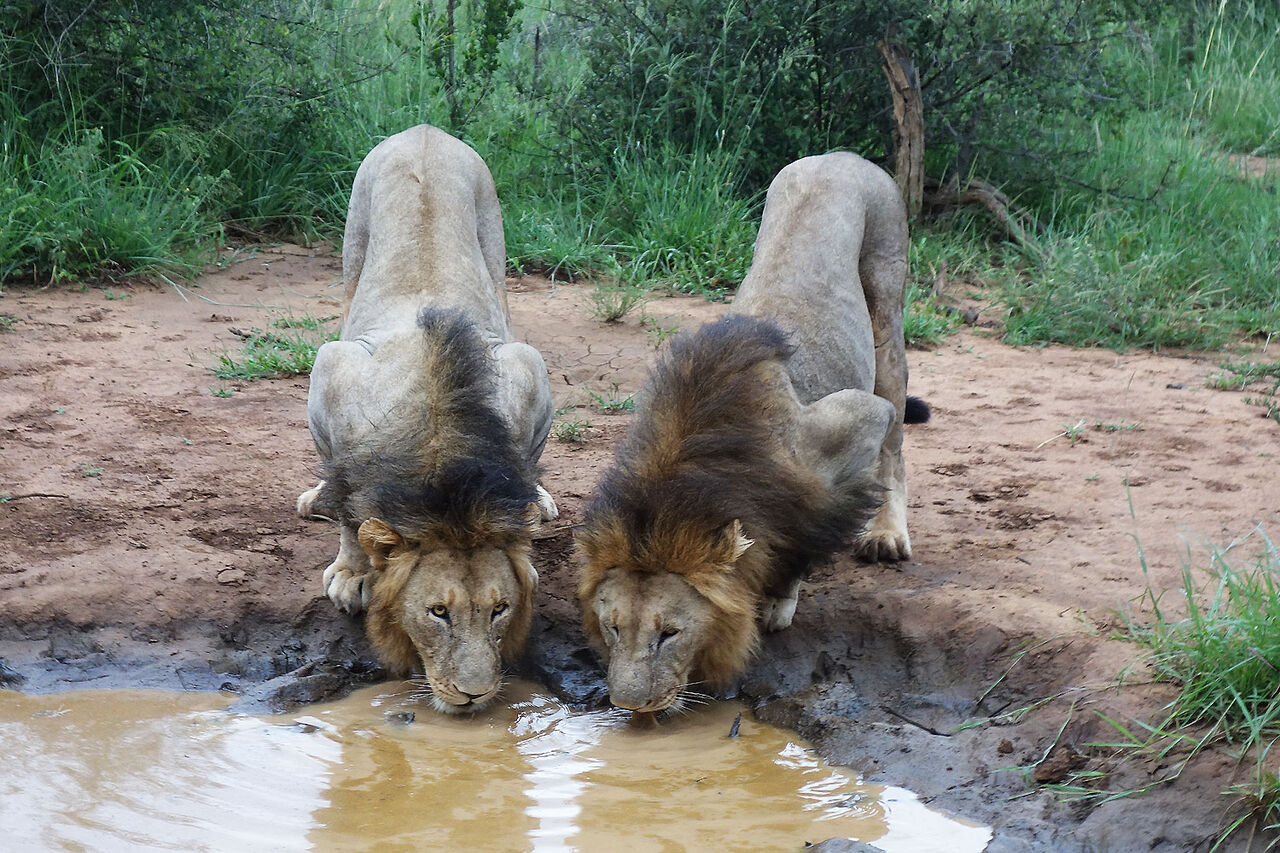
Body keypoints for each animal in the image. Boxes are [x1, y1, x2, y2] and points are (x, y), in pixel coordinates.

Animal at [296, 125, 557, 713]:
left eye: (500, 609)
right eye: (438, 613)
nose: (474, 695)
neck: (441, 444)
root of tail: (425, 132)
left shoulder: (526, 372)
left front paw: (526, 545)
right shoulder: (333, 374)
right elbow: (347, 505)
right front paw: (352, 573)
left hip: (495, 248)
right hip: (353, 244)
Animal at [577, 153, 927, 713]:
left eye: (670, 633)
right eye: (612, 628)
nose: (630, 705)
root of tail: (841, 156)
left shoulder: (853, 424)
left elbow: (807, 533)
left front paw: (779, 603)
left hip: (887, 309)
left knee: (894, 447)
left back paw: (888, 535)